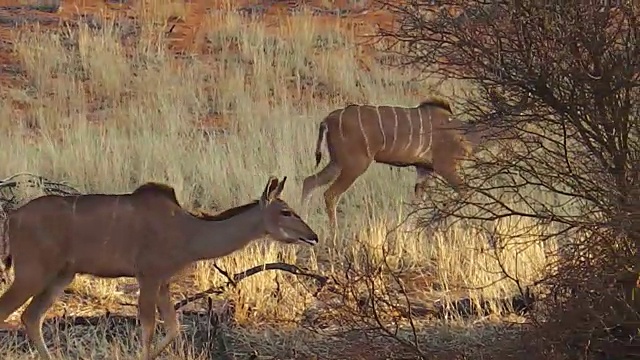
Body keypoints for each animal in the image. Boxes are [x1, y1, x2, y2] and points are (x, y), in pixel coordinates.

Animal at [0, 176, 318, 360]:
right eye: (285, 211)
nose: (312, 236)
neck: (188, 230)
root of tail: (13, 217)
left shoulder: (163, 282)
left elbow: (172, 328)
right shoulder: (148, 277)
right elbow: (149, 329)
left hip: (60, 276)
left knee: (31, 317)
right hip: (31, 273)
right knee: (11, 311)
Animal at [302, 97, 516, 240]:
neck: (466, 133)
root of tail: (327, 120)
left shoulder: (424, 170)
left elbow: (417, 204)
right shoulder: (446, 167)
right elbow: (466, 194)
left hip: (337, 162)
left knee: (309, 181)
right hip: (355, 165)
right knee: (330, 194)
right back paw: (334, 237)